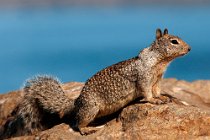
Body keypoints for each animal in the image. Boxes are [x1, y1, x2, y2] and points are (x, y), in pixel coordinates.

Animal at [0, 28, 191, 138]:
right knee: (77, 123)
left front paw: (163, 97)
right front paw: (154, 100)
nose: (189, 49)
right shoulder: (144, 78)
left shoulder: (157, 80)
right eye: (174, 41)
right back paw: (86, 130)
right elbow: (146, 92)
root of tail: (76, 102)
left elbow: (157, 90)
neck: (160, 61)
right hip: (91, 109)